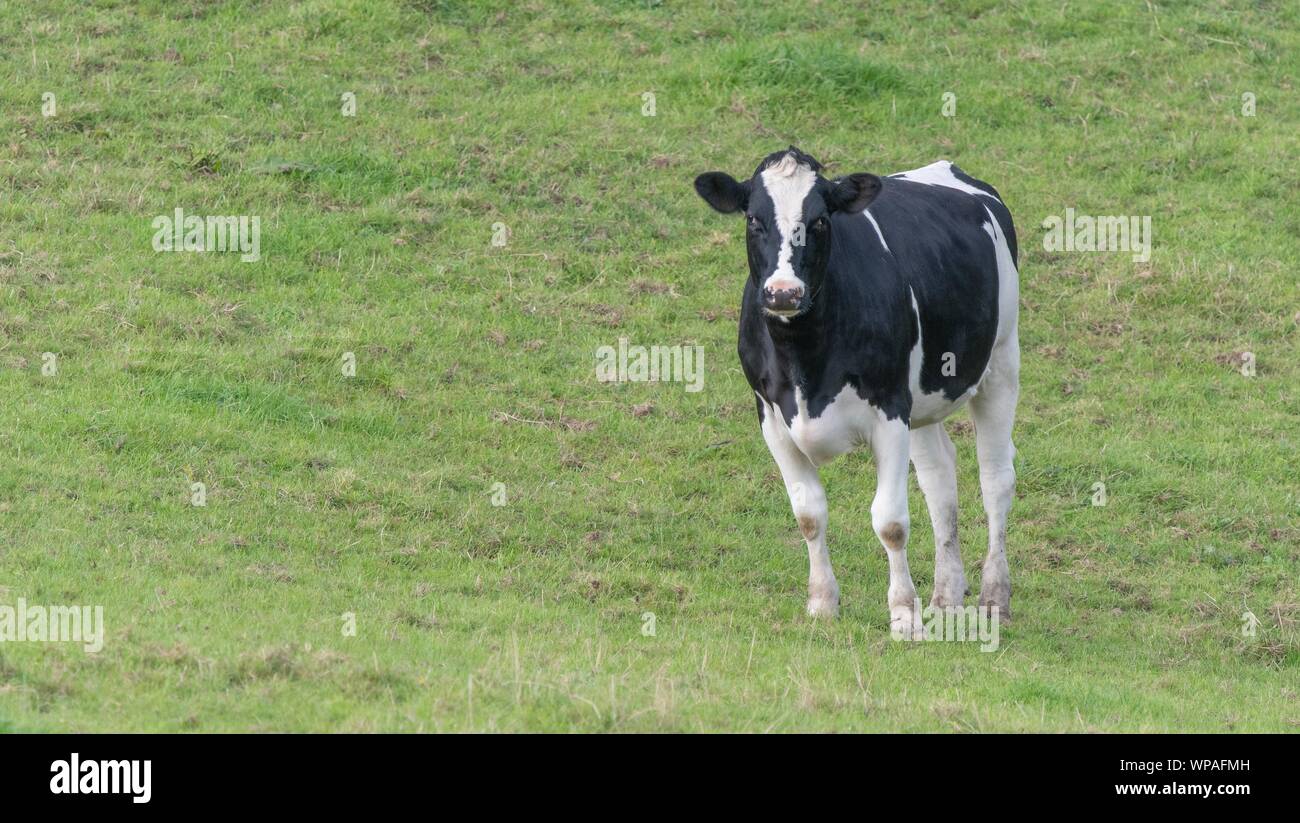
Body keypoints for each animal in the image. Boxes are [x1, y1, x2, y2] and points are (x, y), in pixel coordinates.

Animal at [694, 147, 1020, 639]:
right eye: (753, 219)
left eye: (820, 221)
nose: (784, 293)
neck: (804, 359)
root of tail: (950, 169)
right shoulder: (770, 415)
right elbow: (809, 513)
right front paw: (822, 603)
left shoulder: (889, 409)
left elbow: (890, 521)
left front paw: (904, 615)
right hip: (922, 399)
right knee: (940, 478)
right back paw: (945, 598)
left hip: (1001, 361)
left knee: (995, 478)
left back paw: (993, 599)